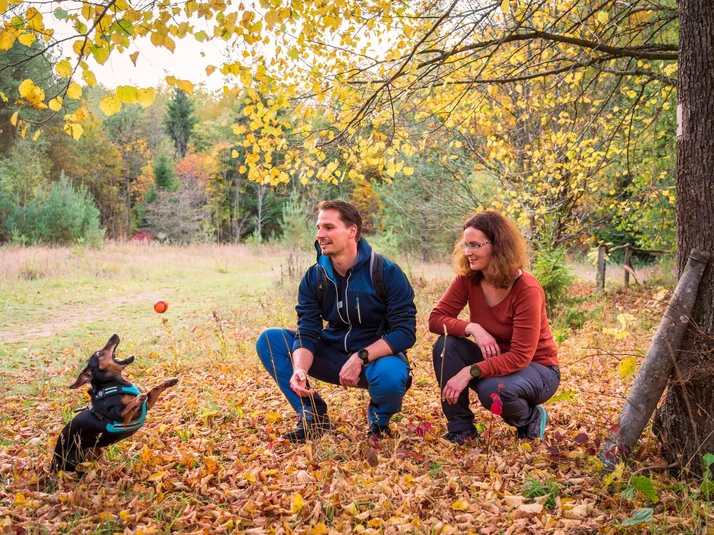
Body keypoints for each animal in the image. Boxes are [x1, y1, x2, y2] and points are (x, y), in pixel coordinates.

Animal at [52, 336, 178, 474]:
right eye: (98, 353)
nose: (114, 335)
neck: (115, 384)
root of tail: (54, 462)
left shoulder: (148, 404)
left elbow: (156, 388)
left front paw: (169, 381)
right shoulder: (123, 418)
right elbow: (130, 405)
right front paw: (139, 398)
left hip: (96, 450)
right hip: (79, 460)